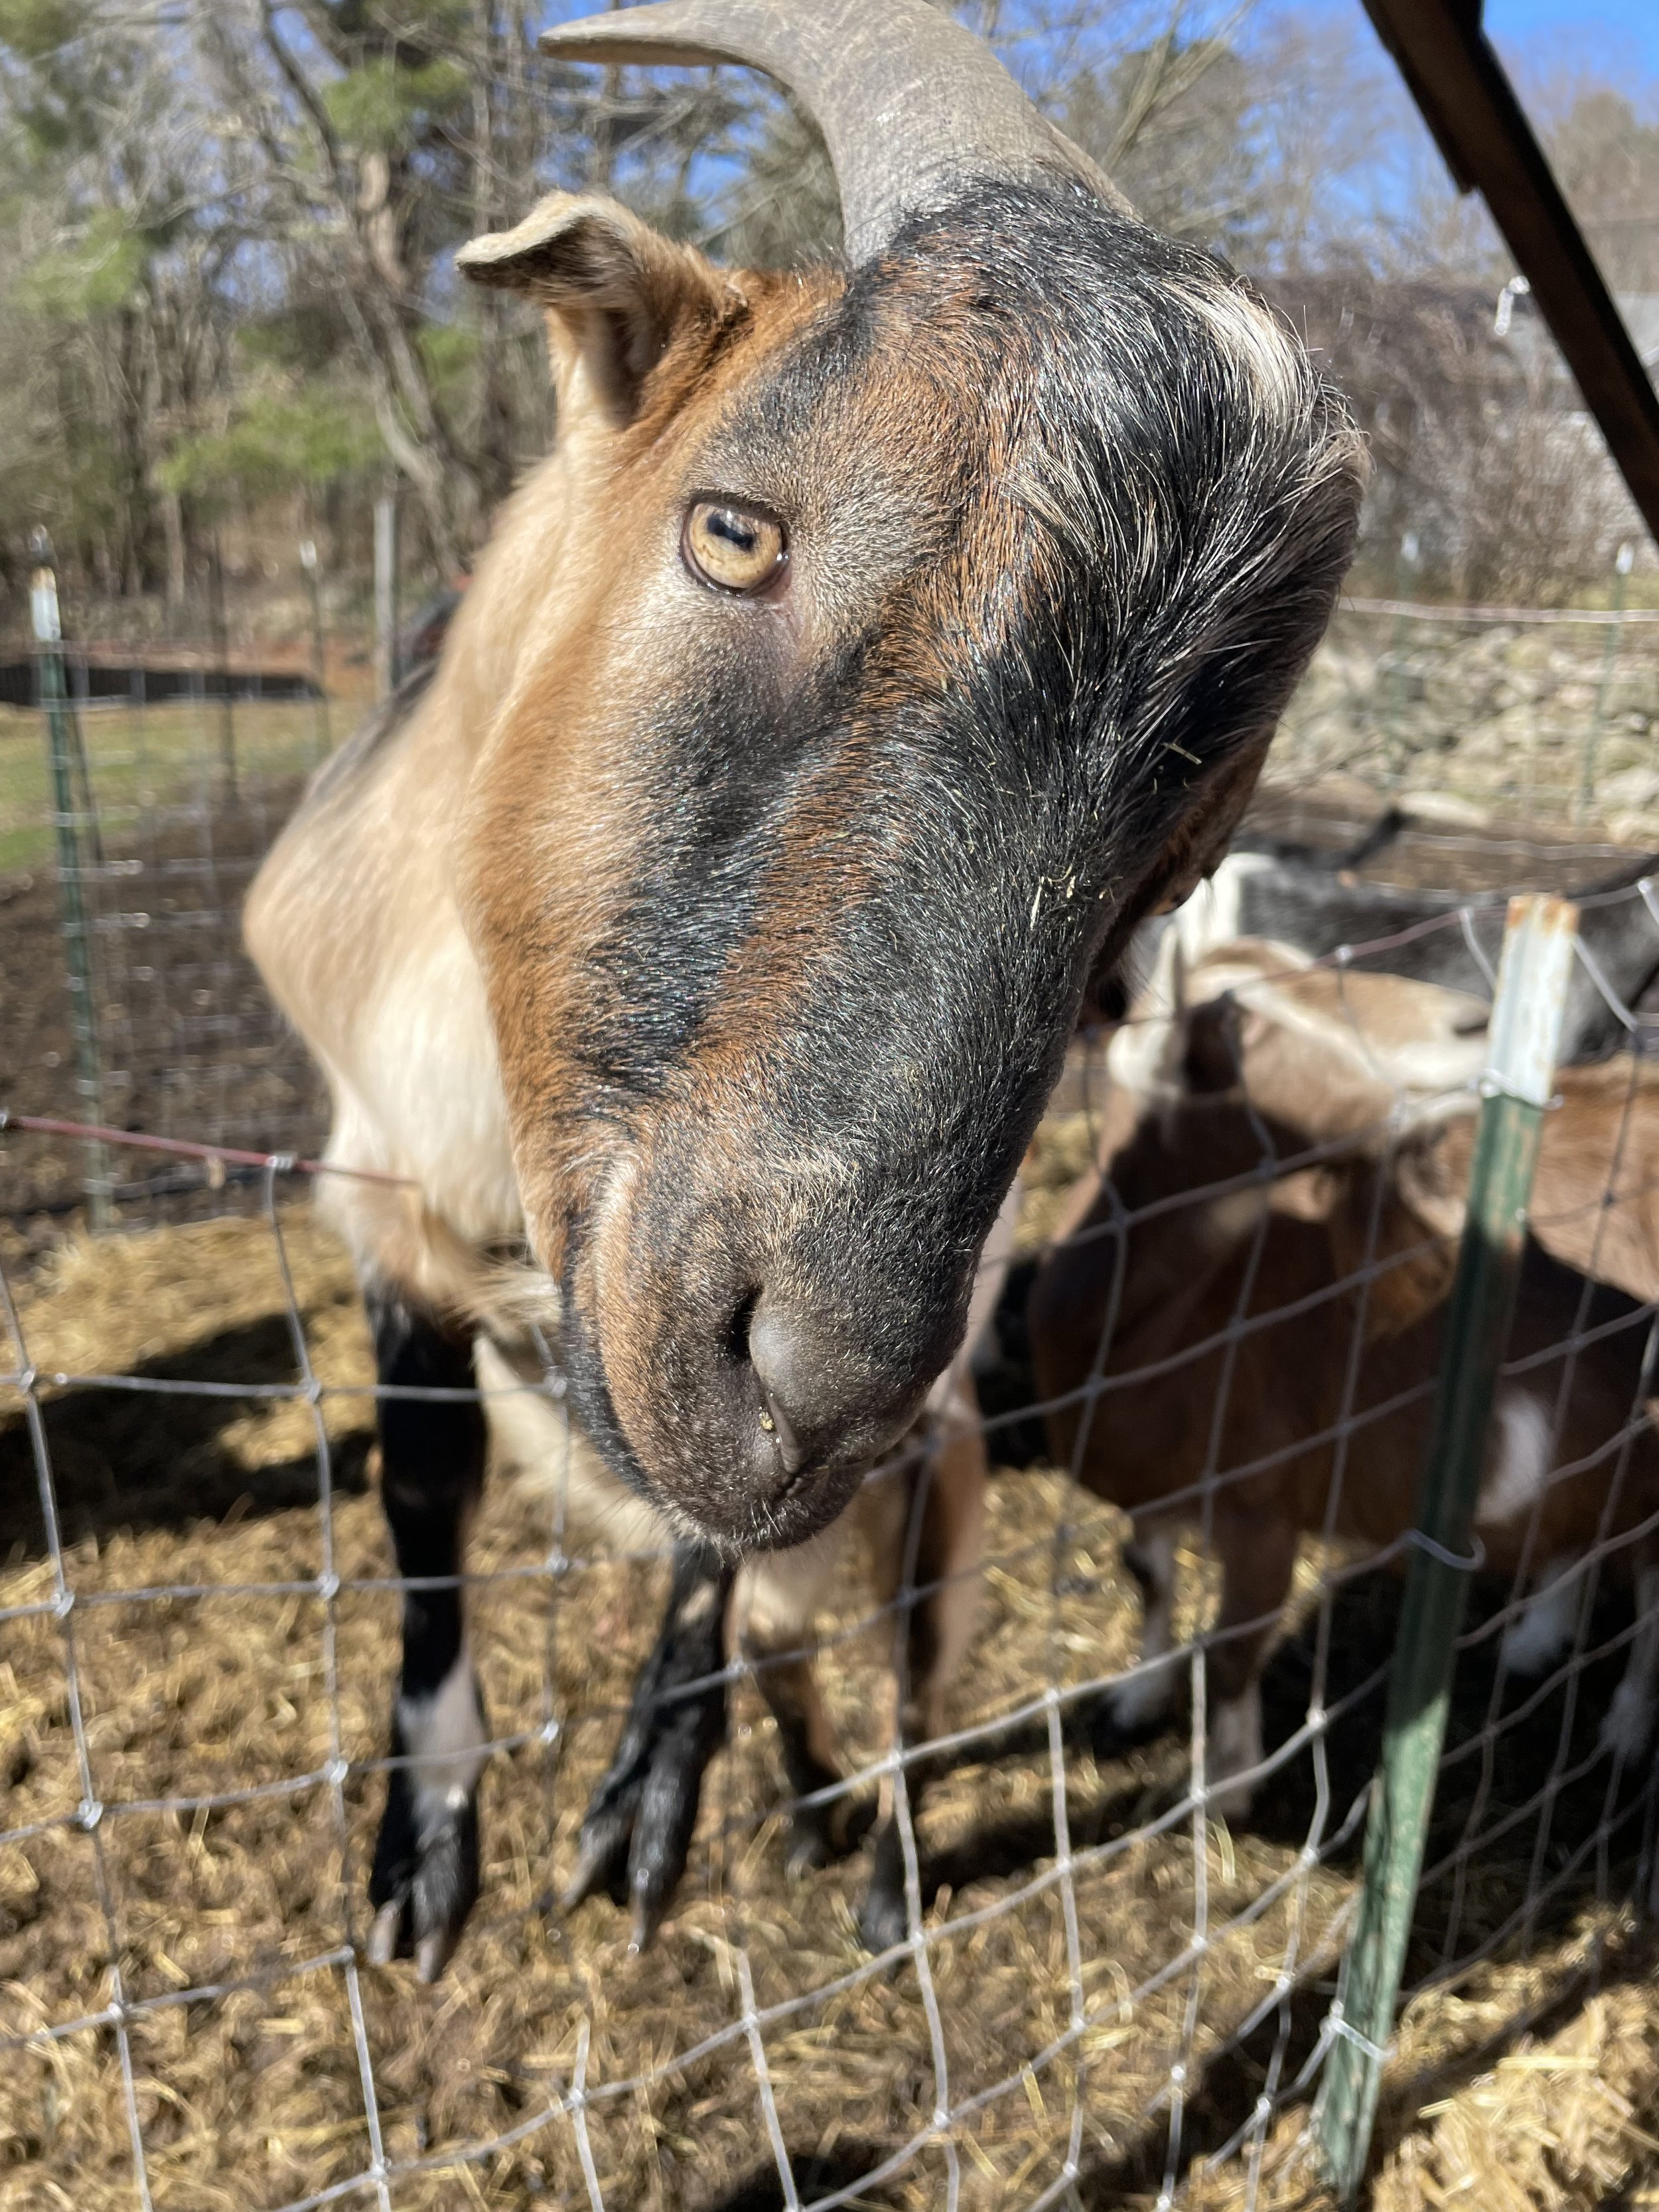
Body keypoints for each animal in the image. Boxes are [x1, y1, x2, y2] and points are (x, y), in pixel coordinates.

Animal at [244, 0, 1363, 1975]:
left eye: (1187, 828)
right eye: (734, 532)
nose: (822, 1383)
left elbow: (709, 1561)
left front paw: (643, 1800)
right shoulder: (371, 1185)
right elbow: (422, 1486)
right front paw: (421, 1850)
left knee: (892, 1661)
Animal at [1028, 1021, 1659, 1814]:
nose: (1426, 1126)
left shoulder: (1264, 1510)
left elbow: (1232, 1648)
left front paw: (1226, 1788)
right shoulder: (1153, 1486)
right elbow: (1148, 1578)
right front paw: (1136, 1701)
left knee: (1648, 1585)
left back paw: (1625, 1731)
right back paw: (1533, 1645)